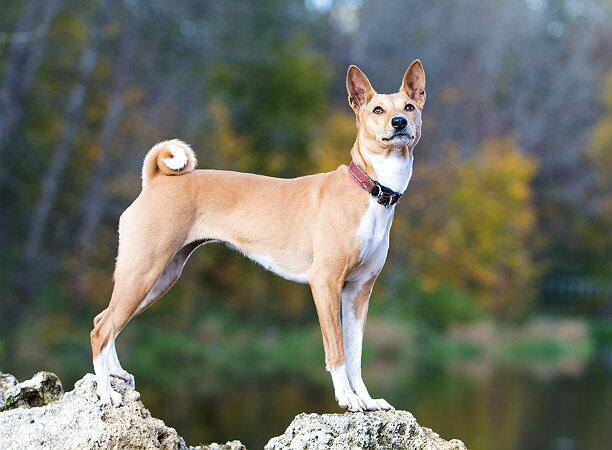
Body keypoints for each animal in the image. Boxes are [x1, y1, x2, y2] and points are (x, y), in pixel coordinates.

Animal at [89, 60, 426, 412]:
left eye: (409, 106)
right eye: (378, 110)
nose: (400, 123)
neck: (371, 191)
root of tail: (154, 181)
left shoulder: (359, 292)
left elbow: (356, 357)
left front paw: (367, 399)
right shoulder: (325, 283)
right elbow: (337, 351)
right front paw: (346, 398)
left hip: (158, 278)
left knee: (104, 320)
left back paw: (116, 375)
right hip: (143, 272)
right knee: (102, 331)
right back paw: (106, 393)